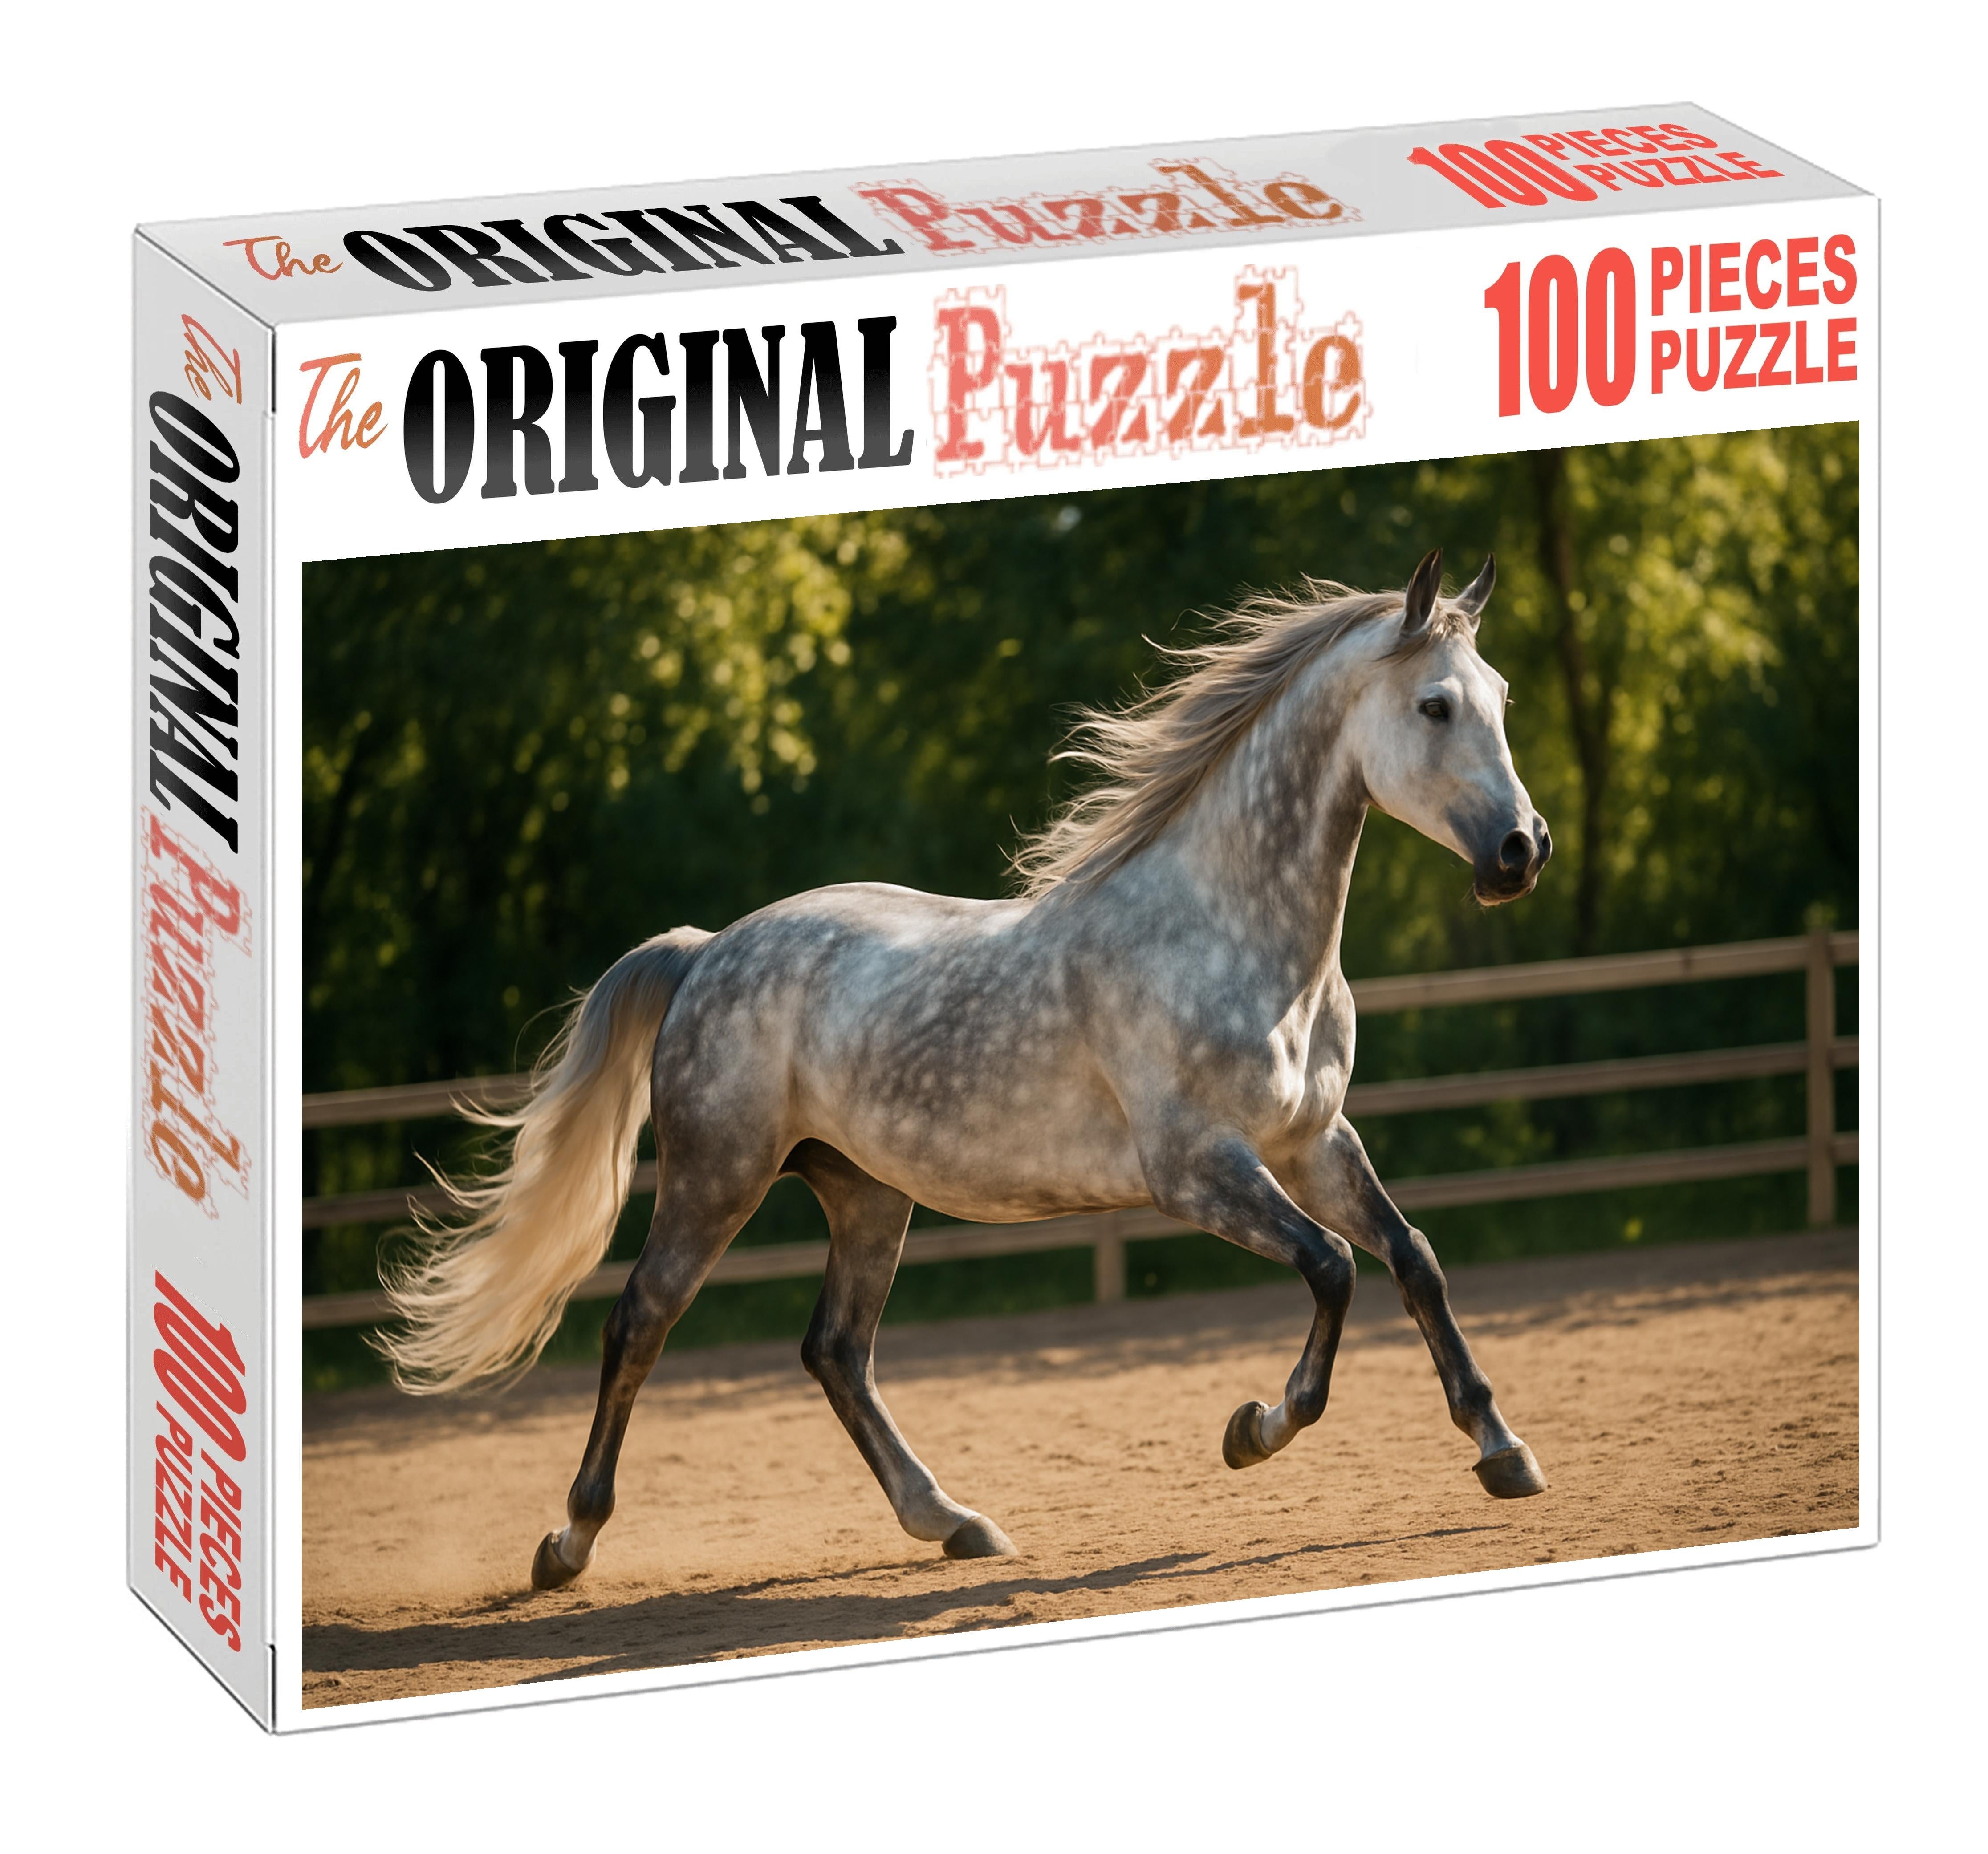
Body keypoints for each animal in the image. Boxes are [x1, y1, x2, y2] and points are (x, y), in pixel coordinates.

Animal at [378, 546, 1554, 1590]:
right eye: (1435, 707)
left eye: (1500, 697)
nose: (1522, 851)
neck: (1233, 938)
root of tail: (706, 950)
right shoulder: (1198, 1170)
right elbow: (1333, 1268)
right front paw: (1251, 1430)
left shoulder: (1312, 1144)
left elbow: (1412, 1258)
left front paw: (1503, 1452)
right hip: (716, 1179)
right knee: (641, 1322)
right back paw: (567, 1546)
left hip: (865, 1192)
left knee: (835, 1351)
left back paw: (951, 1522)